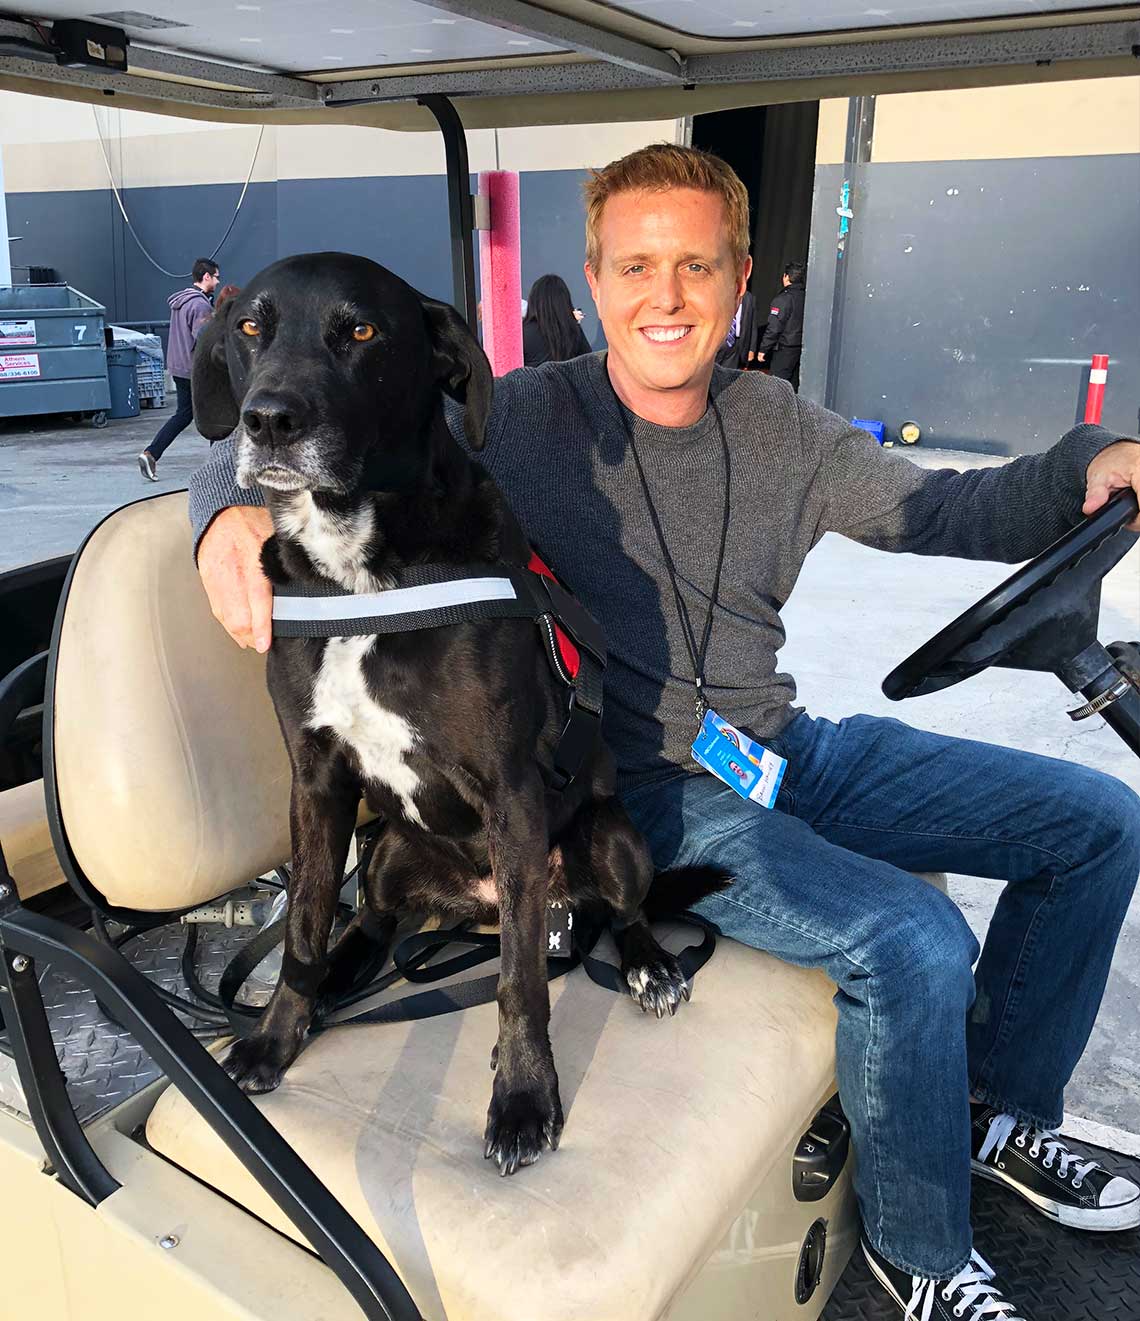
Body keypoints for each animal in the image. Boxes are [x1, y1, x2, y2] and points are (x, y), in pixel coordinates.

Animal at [188, 252, 723, 1173]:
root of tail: (475, 902)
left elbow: (518, 982)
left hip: (608, 838)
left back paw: (650, 965)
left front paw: (523, 1099)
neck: (361, 577)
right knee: (371, 915)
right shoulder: (315, 780)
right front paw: (277, 1035)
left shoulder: (512, 790)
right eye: (251, 326)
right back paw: (343, 973)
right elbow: (303, 926)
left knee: (621, 910)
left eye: (360, 330)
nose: (269, 421)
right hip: (389, 845)